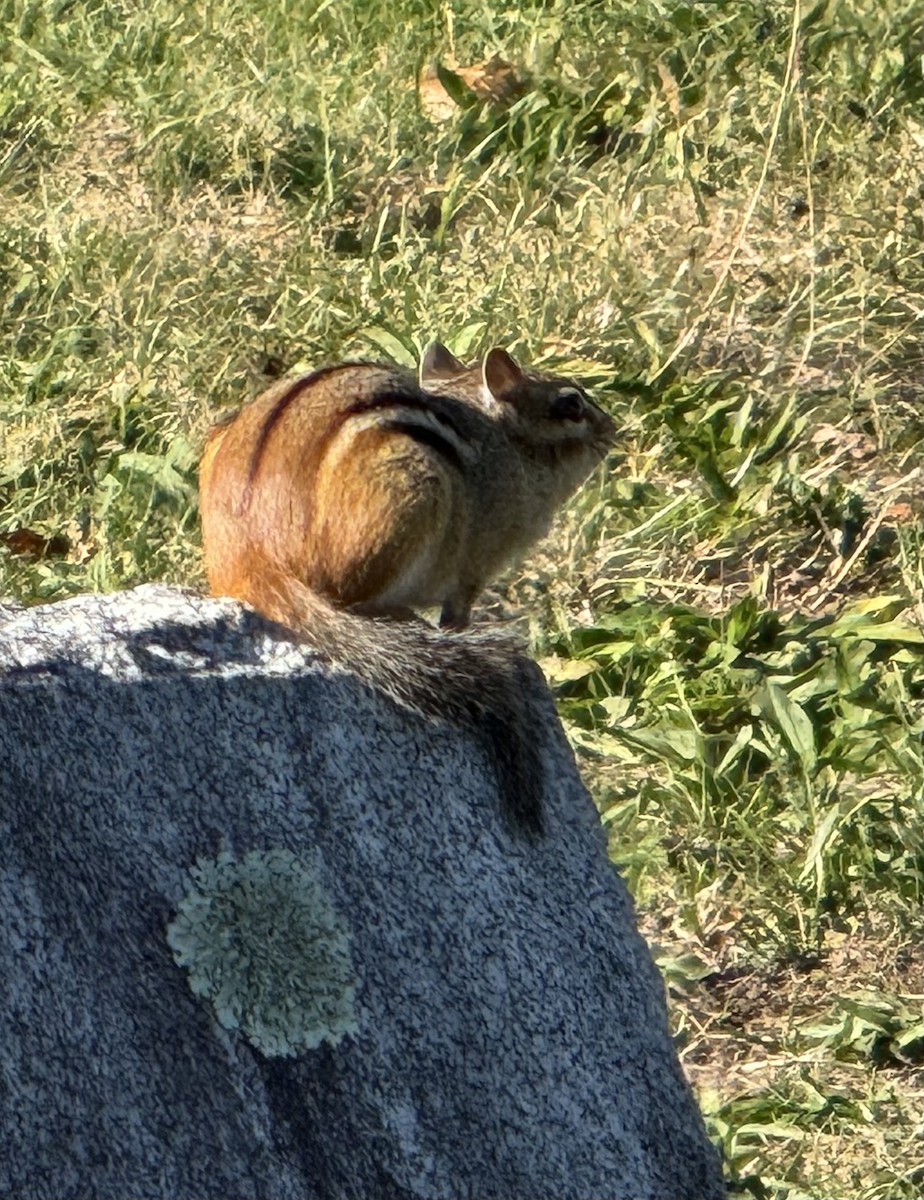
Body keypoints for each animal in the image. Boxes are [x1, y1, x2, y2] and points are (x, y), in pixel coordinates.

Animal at [198, 343, 615, 834]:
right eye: (571, 403)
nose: (612, 428)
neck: (507, 445)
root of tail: (250, 552)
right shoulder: (476, 565)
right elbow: (457, 617)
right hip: (409, 493)